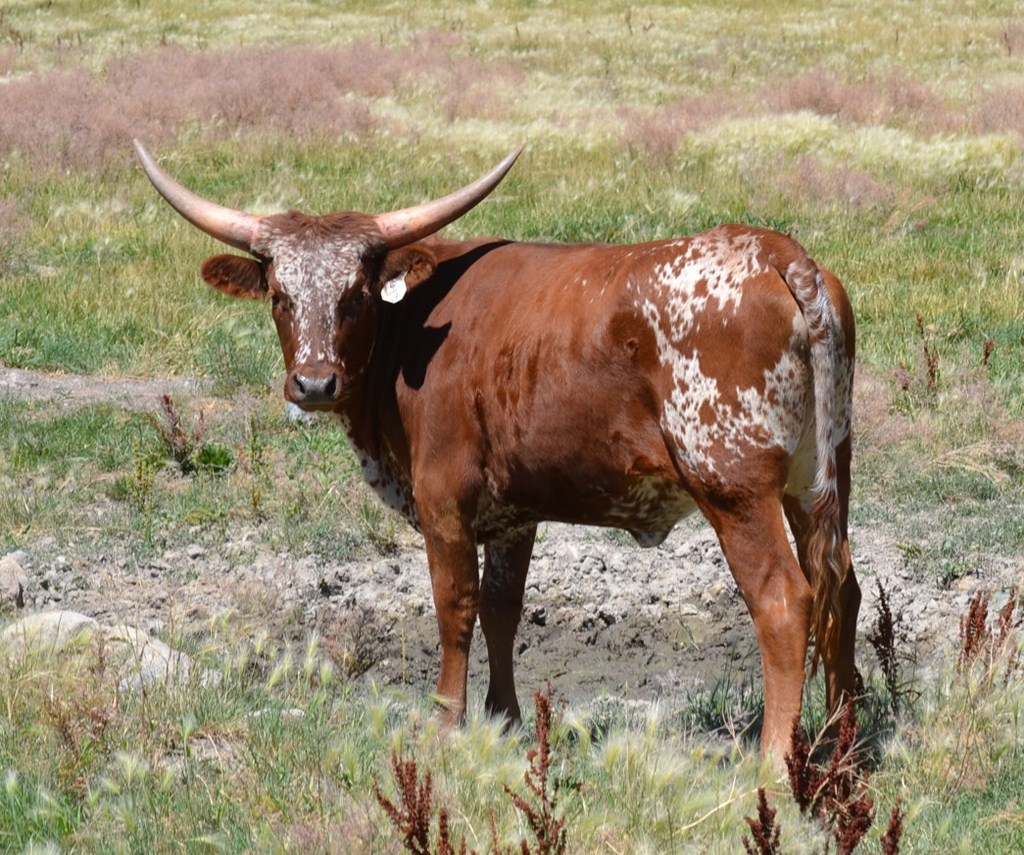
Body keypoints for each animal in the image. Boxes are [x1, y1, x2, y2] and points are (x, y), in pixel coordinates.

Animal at [134, 139, 859, 760]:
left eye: (357, 295)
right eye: (281, 297)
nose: (314, 384)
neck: (414, 325)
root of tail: (779, 253)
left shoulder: (444, 499)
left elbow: (455, 608)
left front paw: (446, 723)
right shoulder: (514, 512)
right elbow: (502, 609)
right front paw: (504, 719)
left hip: (734, 487)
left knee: (784, 603)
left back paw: (773, 764)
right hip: (819, 478)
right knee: (842, 591)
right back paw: (841, 745)